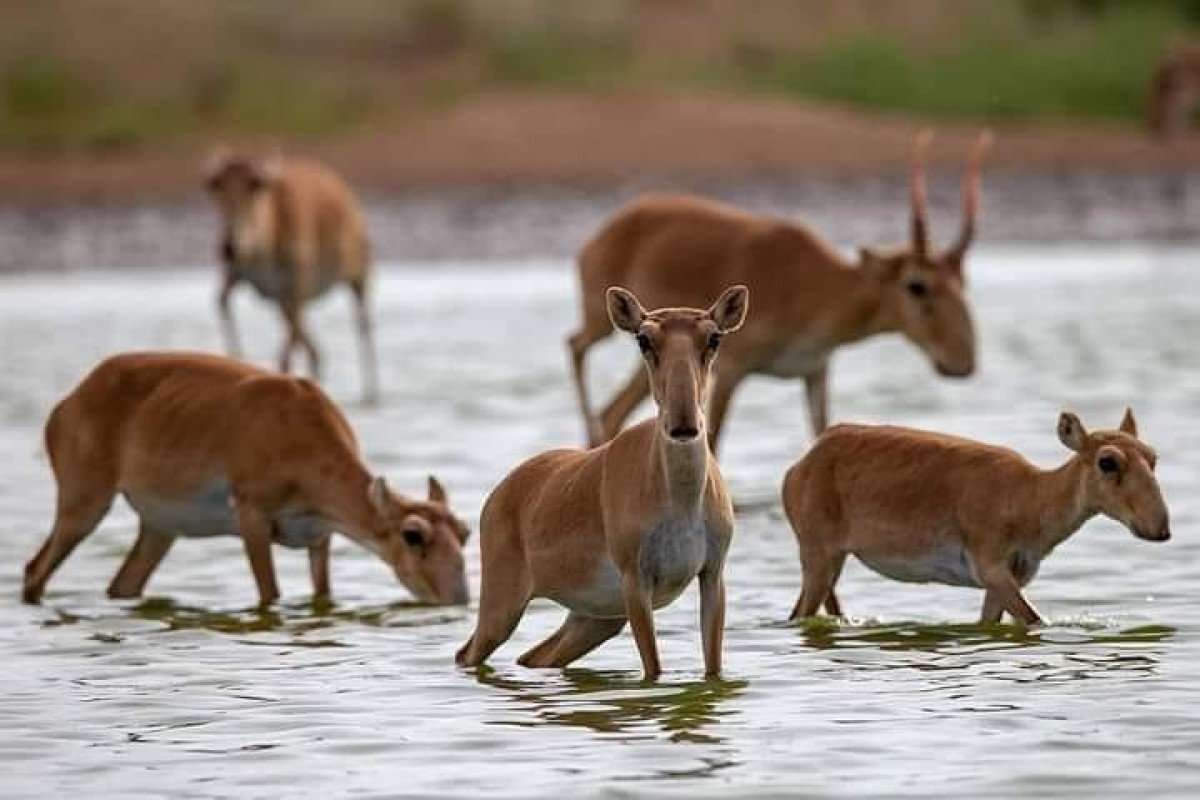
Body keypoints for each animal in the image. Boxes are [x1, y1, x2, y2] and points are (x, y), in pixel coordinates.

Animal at [22, 350, 468, 606]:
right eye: (412, 534)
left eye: (464, 533)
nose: (459, 599)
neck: (302, 428)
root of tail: (68, 403)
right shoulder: (252, 517)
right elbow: (270, 594)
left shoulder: (320, 536)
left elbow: (323, 596)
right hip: (85, 503)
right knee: (34, 569)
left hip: (159, 529)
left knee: (122, 585)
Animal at [201, 149, 379, 402]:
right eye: (218, 192)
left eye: (253, 191)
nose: (228, 247)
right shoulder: (239, 277)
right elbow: (222, 302)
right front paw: (234, 361)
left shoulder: (298, 284)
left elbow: (286, 351)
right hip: (281, 299)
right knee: (313, 346)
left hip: (358, 277)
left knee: (362, 327)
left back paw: (370, 393)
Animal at [453, 284, 744, 681]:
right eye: (643, 339)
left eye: (714, 337)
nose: (683, 425)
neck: (681, 500)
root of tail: (498, 495)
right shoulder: (636, 583)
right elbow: (653, 670)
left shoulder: (713, 575)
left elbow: (713, 670)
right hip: (503, 606)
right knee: (468, 652)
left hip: (594, 618)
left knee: (535, 656)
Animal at [566, 134, 988, 453]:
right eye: (917, 285)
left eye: (962, 282)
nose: (963, 362)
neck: (815, 287)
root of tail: (605, 230)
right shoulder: (730, 369)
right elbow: (714, 446)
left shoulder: (815, 371)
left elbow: (820, 436)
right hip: (602, 322)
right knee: (576, 346)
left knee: (612, 411)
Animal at [782, 407, 1166, 623]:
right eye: (1107, 461)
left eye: (1152, 456)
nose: (1160, 529)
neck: (1030, 496)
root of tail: (800, 466)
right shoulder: (993, 569)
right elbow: (1035, 620)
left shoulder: (1006, 580)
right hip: (817, 557)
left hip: (832, 562)